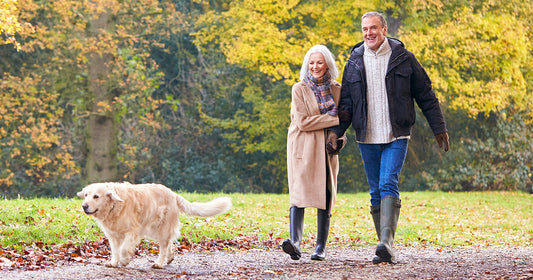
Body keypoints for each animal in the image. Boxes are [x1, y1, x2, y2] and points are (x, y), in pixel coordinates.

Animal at [78, 183, 232, 268]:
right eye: (86, 195)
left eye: (96, 196)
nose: (84, 206)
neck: (114, 206)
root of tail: (173, 194)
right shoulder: (112, 235)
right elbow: (115, 250)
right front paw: (114, 263)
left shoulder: (132, 231)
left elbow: (123, 249)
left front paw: (125, 260)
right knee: (169, 244)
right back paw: (169, 258)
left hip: (161, 229)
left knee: (164, 247)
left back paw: (159, 263)